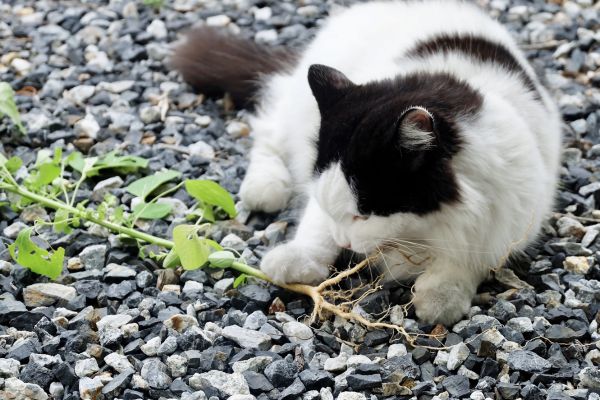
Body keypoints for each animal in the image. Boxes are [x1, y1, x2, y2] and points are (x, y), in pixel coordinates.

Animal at [172, 0, 564, 324]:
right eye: (344, 215)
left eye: (364, 215)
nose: (345, 243)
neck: (425, 229)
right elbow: (316, 225)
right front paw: (295, 260)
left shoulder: (508, 214)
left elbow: (466, 258)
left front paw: (439, 299)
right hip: (297, 106)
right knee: (268, 126)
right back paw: (265, 189)